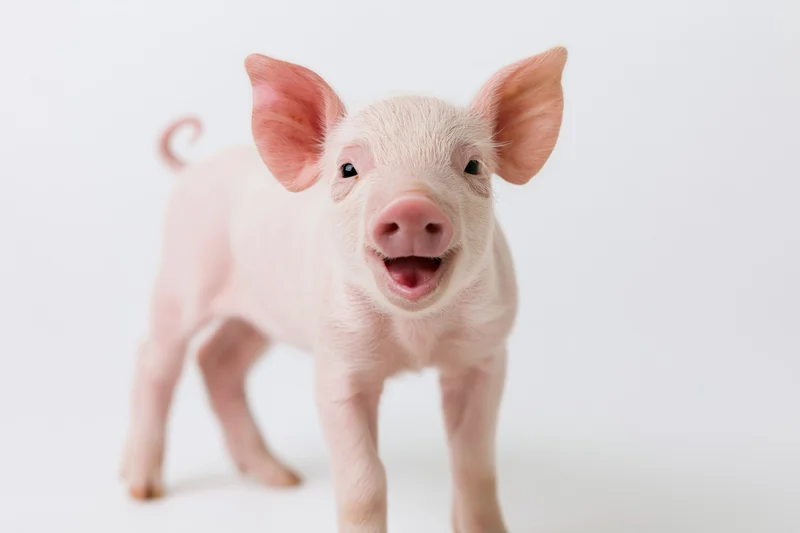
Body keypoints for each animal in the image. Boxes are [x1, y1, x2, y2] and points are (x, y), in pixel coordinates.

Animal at [122, 46, 567, 533]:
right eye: (348, 168)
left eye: (473, 165)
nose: (412, 206)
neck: (415, 339)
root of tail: (193, 168)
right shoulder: (337, 363)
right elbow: (364, 481)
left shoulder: (484, 355)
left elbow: (475, 467)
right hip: (180, 275)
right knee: (155, 359)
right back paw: (142, 490)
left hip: (260, 312)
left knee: (218, 360)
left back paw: (282, 479)